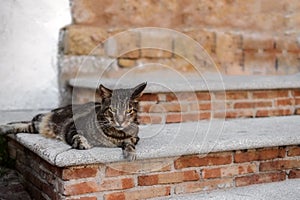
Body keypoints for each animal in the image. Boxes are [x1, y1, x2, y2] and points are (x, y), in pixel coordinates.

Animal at [0, 82, 148, 160]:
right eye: (112, 110)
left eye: (129, 110)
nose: (120, 121)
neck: (114, 133)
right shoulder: (72, 127)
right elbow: (77, 136)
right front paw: (83, 143)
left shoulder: (135, 137)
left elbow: (130, 142)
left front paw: (130, 152)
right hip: (45, 122)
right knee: (25, 123)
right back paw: (3, 127)